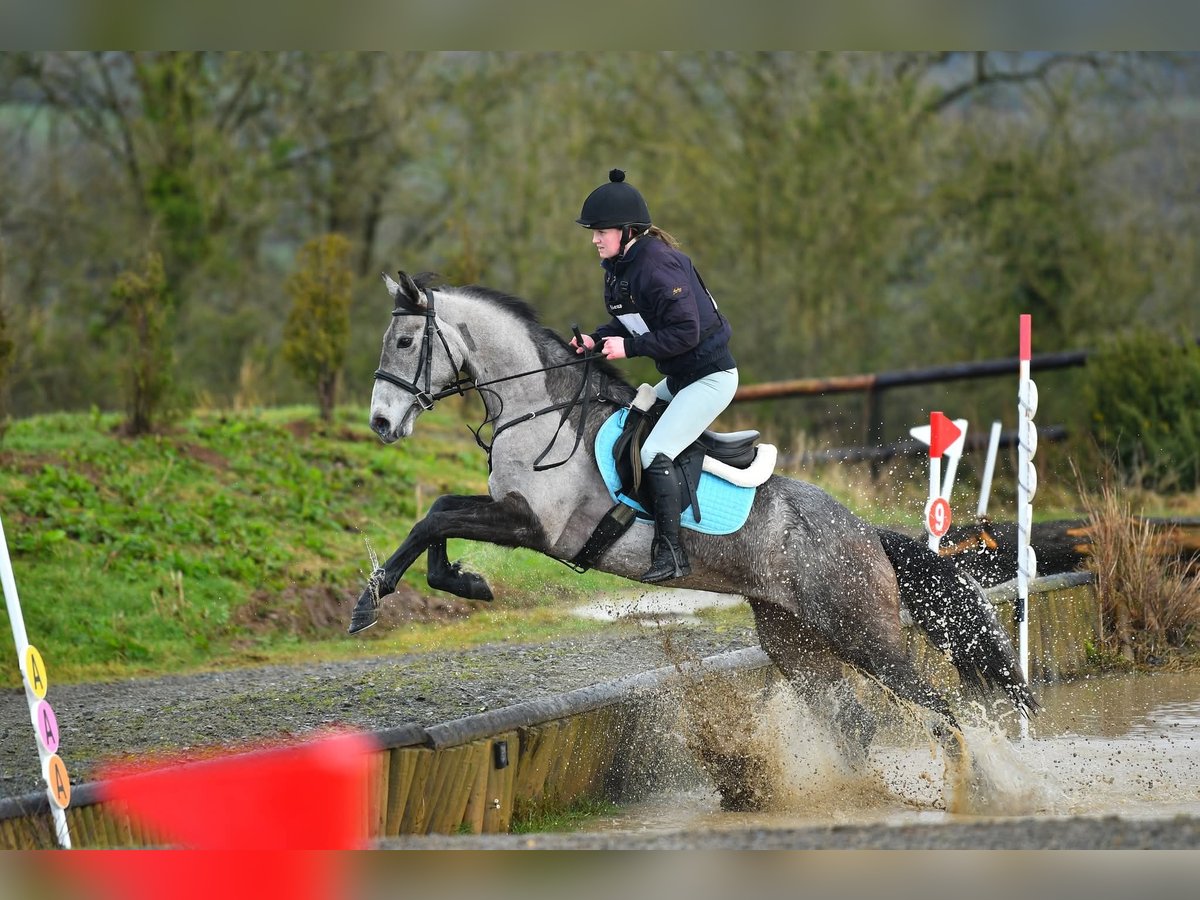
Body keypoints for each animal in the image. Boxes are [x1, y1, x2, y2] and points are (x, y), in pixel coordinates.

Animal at [354, 270, 1036, 801]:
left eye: (406, 341)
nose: (382, 423)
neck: (539, 410)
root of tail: (864, 532)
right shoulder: (512, 513)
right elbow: (440, 510)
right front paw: (455, 581)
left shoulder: (534, 525)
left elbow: (436, 516)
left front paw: (374, 600)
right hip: (796, 643)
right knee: (855, 724)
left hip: (864, 636)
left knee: (943, 713)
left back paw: (972, 792)